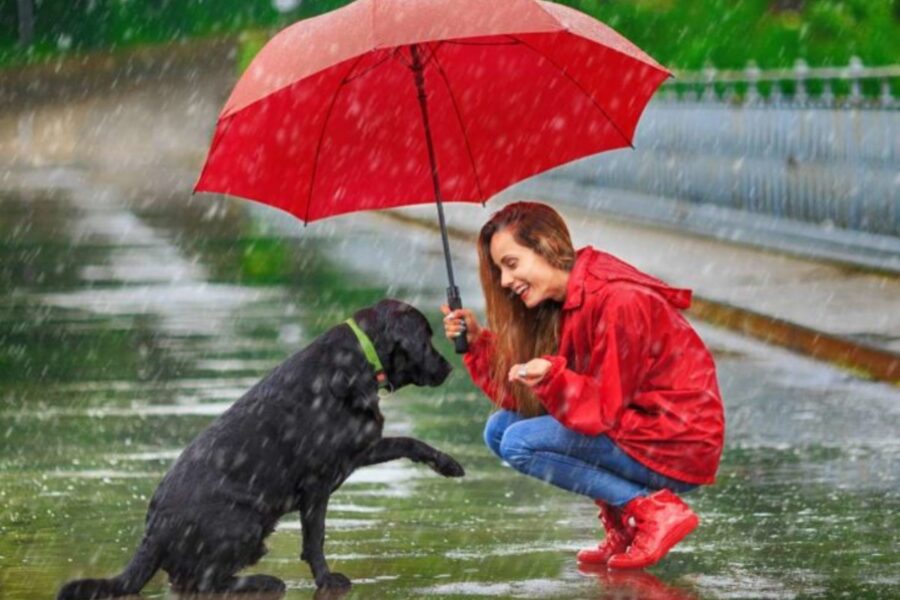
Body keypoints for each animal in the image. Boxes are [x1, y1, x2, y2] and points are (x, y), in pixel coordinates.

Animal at [58, 300, 464, 600]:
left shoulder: (358, 450)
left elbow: (409, 442)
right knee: (197, 580)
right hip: (246, 522)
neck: (359, 361)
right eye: (427, 338)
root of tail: (151, 535)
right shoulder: (317, 484)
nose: (448, 367)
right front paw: (326, 579)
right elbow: (314, 539)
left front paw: (448, 464)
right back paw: (262, 581)